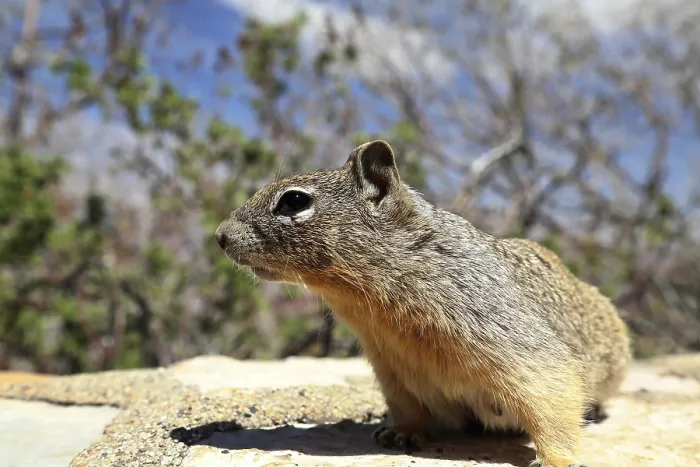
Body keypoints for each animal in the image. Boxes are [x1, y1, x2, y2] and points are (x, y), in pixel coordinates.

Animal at [215, 140, 632, 467]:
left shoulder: (517, 345)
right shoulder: (390, 368)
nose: (219, 235)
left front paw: (557, 460)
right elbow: (408, 409)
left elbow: (552, 399)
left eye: (294, 200)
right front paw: (401, 434)